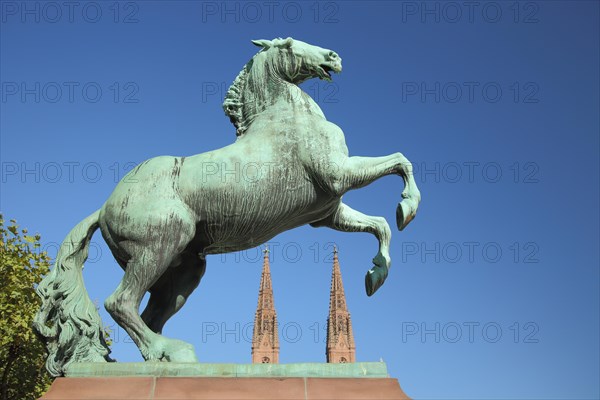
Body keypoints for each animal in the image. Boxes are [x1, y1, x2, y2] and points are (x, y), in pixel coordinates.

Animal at [34, 36, 422, 376]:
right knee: (121, 302)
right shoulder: (341, 174)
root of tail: (103, 207)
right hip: (159, 246)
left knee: (148, 316)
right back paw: (169, 351)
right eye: (289, 44)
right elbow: (400, 161)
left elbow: (380, 224)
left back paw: (165, 354)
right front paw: (408, 206)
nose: (333, 55)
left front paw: (377, 272)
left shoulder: (328, 212)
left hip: (184, 271)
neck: (286, 116)